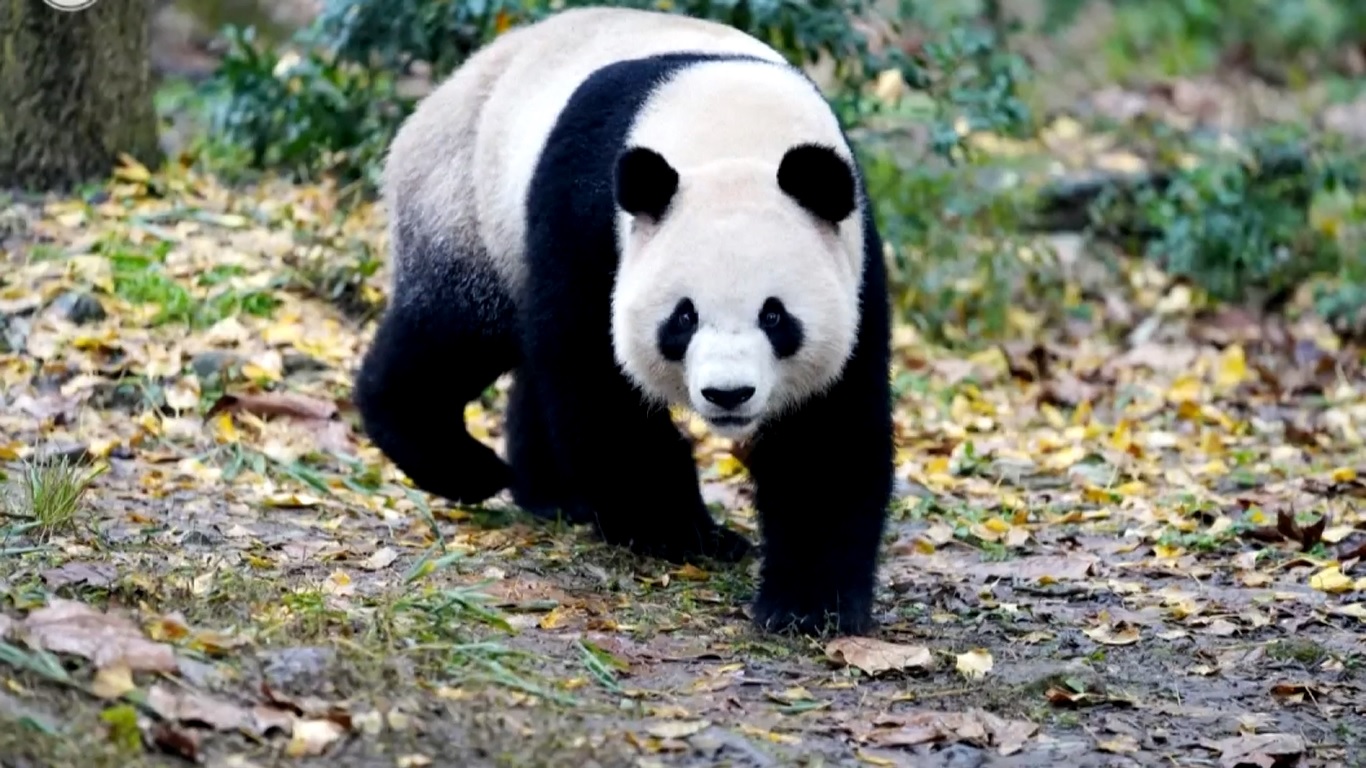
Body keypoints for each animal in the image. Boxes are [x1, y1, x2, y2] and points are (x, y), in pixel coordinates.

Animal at [353, 6, 894, 635]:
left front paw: (810, 606)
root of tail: (440, 94)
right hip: (465, 205)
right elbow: (597, 382)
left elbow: (828, 432)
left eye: (775, 316)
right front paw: (685, 534)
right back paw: (462, 464)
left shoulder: (855, 259)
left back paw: (552, 493)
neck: (734, 133)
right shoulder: (589, 214)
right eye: (683, 317)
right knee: (455, 333)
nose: (728, 394)